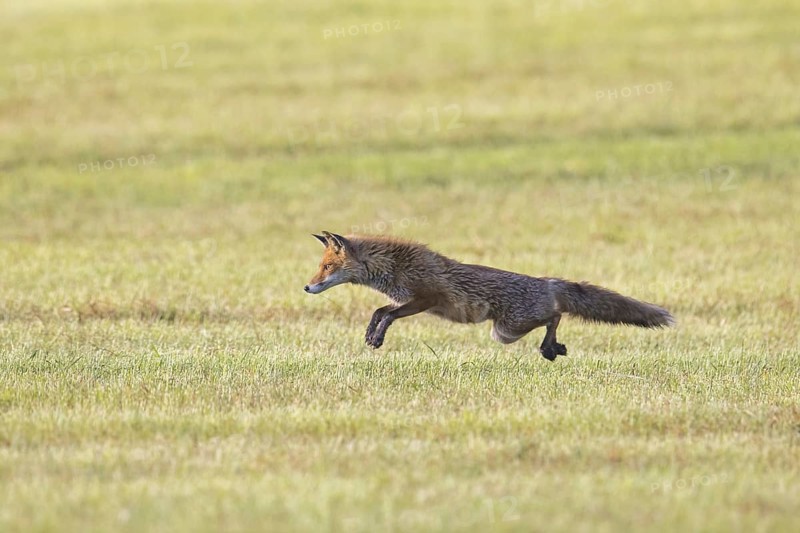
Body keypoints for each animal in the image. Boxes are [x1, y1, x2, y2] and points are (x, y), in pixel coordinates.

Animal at [304, 231, 674, 360]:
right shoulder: (406, 300)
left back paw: (550, 348)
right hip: (506, 331)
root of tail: (546, 281)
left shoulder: (425, 299)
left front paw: (377, 338)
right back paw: (554, 348)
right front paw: (371, 335)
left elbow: (386, 314)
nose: (307, 287)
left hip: (506, 329)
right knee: (556, 315)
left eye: (326, 267)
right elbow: (379, 312)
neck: (394, 266)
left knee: (556, 315)